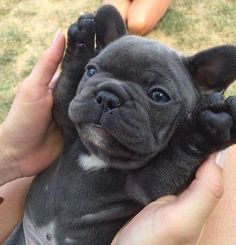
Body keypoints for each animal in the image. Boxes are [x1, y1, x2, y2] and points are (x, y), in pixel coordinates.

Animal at [4, 3, 236, 245]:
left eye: (159, 96)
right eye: (91, 71)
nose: (108, 97)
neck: (98, 154)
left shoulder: (149, 185)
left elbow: (179, 153)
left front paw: (206, 129)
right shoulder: (65, 116)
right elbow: (67, 84)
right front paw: (81, 39)